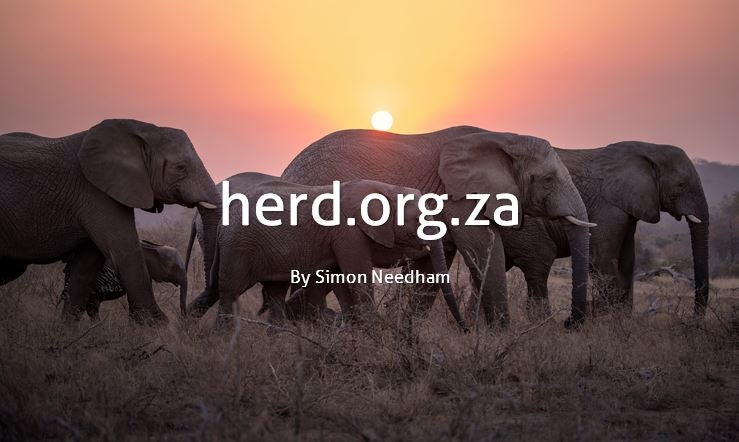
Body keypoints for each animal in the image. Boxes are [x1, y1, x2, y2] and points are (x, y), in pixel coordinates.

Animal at [0, 119, 219, 324]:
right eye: (181, 168)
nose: (184, 317)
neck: (142, 130)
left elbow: (87, 264)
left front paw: (65, 331)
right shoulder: (96, 192)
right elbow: (125, 251)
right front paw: (157, 327)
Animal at [184, 173, 467, 331]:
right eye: (418, 219)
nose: (466, 329)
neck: (387, 188)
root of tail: (222, 222)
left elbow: (341, 280)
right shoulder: (348, 233)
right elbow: (357, 279)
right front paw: (375, 334)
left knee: (273, 296)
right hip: (238, 246)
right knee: (229, 291)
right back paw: (223, 340)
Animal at [280, 127, 594, 327]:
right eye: (548, 179)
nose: (569, 323)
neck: (504, 138)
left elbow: (431, 267)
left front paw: (409, 333)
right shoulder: (459, 196)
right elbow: (483, 248)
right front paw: (502, 333)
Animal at [500, 141, 709, 317]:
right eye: (681, 185)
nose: (693, 319)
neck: (649, 148)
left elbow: (627, 261)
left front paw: (623, 320)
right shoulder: (607, 207)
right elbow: (601, 258)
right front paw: (608, 321)